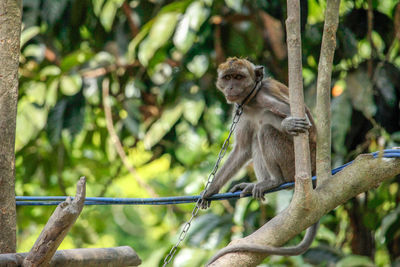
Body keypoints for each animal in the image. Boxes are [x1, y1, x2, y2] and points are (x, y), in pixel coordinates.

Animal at [198, 57, 318, 264]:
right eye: (227, 77)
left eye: (239, 77)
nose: (231, 87)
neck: (251, 102)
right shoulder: (240, 111)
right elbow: (242, 149)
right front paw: (211, 190)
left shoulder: (263, 96)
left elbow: (304, 120)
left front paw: (289, 123)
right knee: (256, 136)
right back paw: (261, 182)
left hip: (293, 162)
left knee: (265, 130)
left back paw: (275, 181)